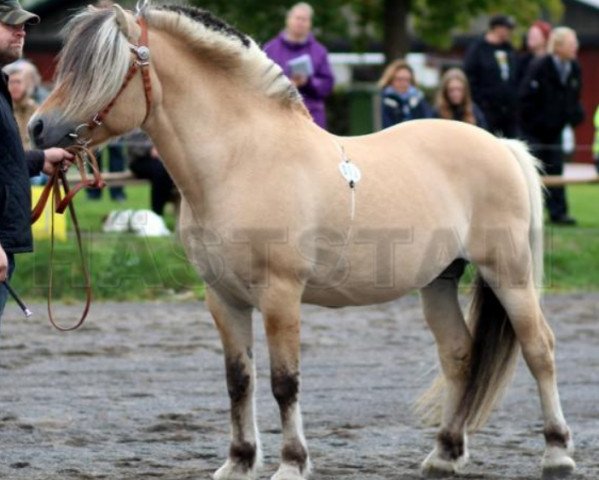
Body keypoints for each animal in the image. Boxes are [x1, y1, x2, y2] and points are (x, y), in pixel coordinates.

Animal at [29, 3, 576, 480]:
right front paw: (239, 461)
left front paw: (291, 464)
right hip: (440, 280)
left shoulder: (280, 294)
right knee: (459, 355)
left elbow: (283, 382)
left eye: (103, 68)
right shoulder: (222, 297)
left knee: (541, 349)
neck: (241, 160)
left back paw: (557, 453)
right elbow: (239, 380)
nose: (37, 128)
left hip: (509, 272)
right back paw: (444, 454)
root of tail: (501, 144)